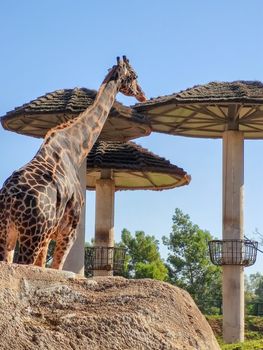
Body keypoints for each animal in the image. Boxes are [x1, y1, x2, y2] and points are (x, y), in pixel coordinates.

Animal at [0, 56, 146, 270]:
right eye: (134, 75)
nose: (142, 94)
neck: (75, 150)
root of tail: (9, 200)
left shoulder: (49, 236)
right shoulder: (68, 231)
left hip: (8, 233)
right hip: (32, 235)